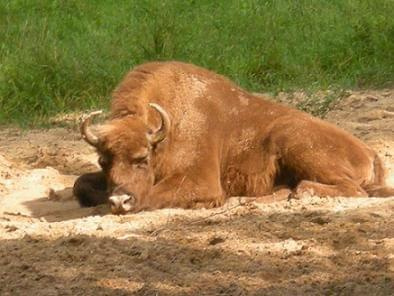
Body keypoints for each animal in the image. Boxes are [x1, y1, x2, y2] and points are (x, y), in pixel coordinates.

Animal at [72, 60, 392, 213]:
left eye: (142, 158)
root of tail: (370, 151)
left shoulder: (200, 180)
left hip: (292, 140)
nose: (119, 202)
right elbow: (79, 184)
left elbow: (156, 194)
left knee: (352, 189)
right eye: (103, 161)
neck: (168, 129)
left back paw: (300, 191)